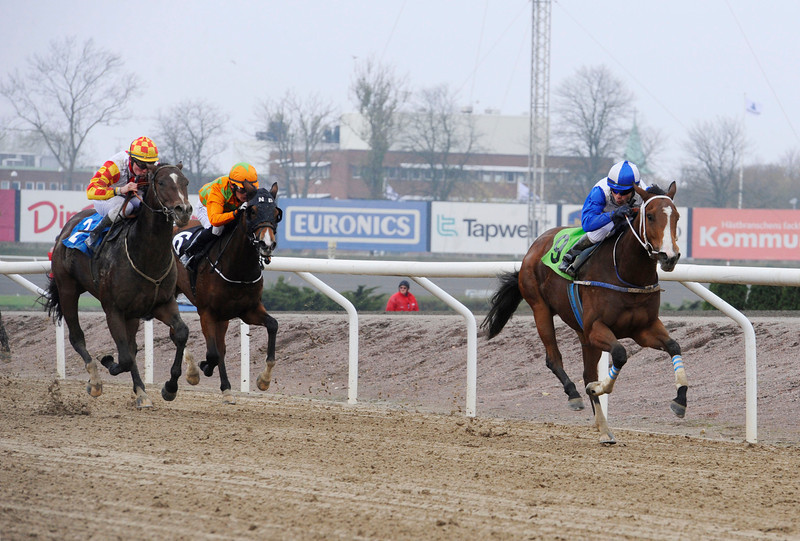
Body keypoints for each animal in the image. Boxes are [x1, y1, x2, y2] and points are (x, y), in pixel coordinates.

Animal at [44, 162, 193, 408]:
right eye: (161, 182)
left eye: (185, 182)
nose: (184, 210)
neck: (145, 255)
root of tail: (66, 228)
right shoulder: (113, 309)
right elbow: (123, 358)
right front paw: (108, 362)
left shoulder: (162, 303)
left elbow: (180, 333)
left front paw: (170, 387)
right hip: (67, 289)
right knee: (77, 337)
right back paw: (95, 380)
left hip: (132, 313)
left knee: (131, 346)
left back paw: (141, 392)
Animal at [171, 184, 282, 402]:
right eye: (252, 211)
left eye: (276, 213)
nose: (266, 244)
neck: (238, 268)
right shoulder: (206, 312)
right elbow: (213, 354)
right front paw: (202, 367)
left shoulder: (248, 310)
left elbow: (273, 325)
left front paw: (264, 379)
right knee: (175, 331)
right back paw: (192, 371)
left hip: (223, 316)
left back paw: (226, 388)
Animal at [484, 181, 684, 442]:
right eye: (649, 216)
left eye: (677, 217)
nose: (669, 257)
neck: (627, 273)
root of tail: (536, 244)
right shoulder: (596, 328)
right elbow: (619, 354)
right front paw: (597, 388)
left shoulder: (644, 328)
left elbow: (674, 347)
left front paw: (681, 400)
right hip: (541, 309)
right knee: (553, 358)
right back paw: (574, 395)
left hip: (582, 334)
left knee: (587, 371)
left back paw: (604, 428)